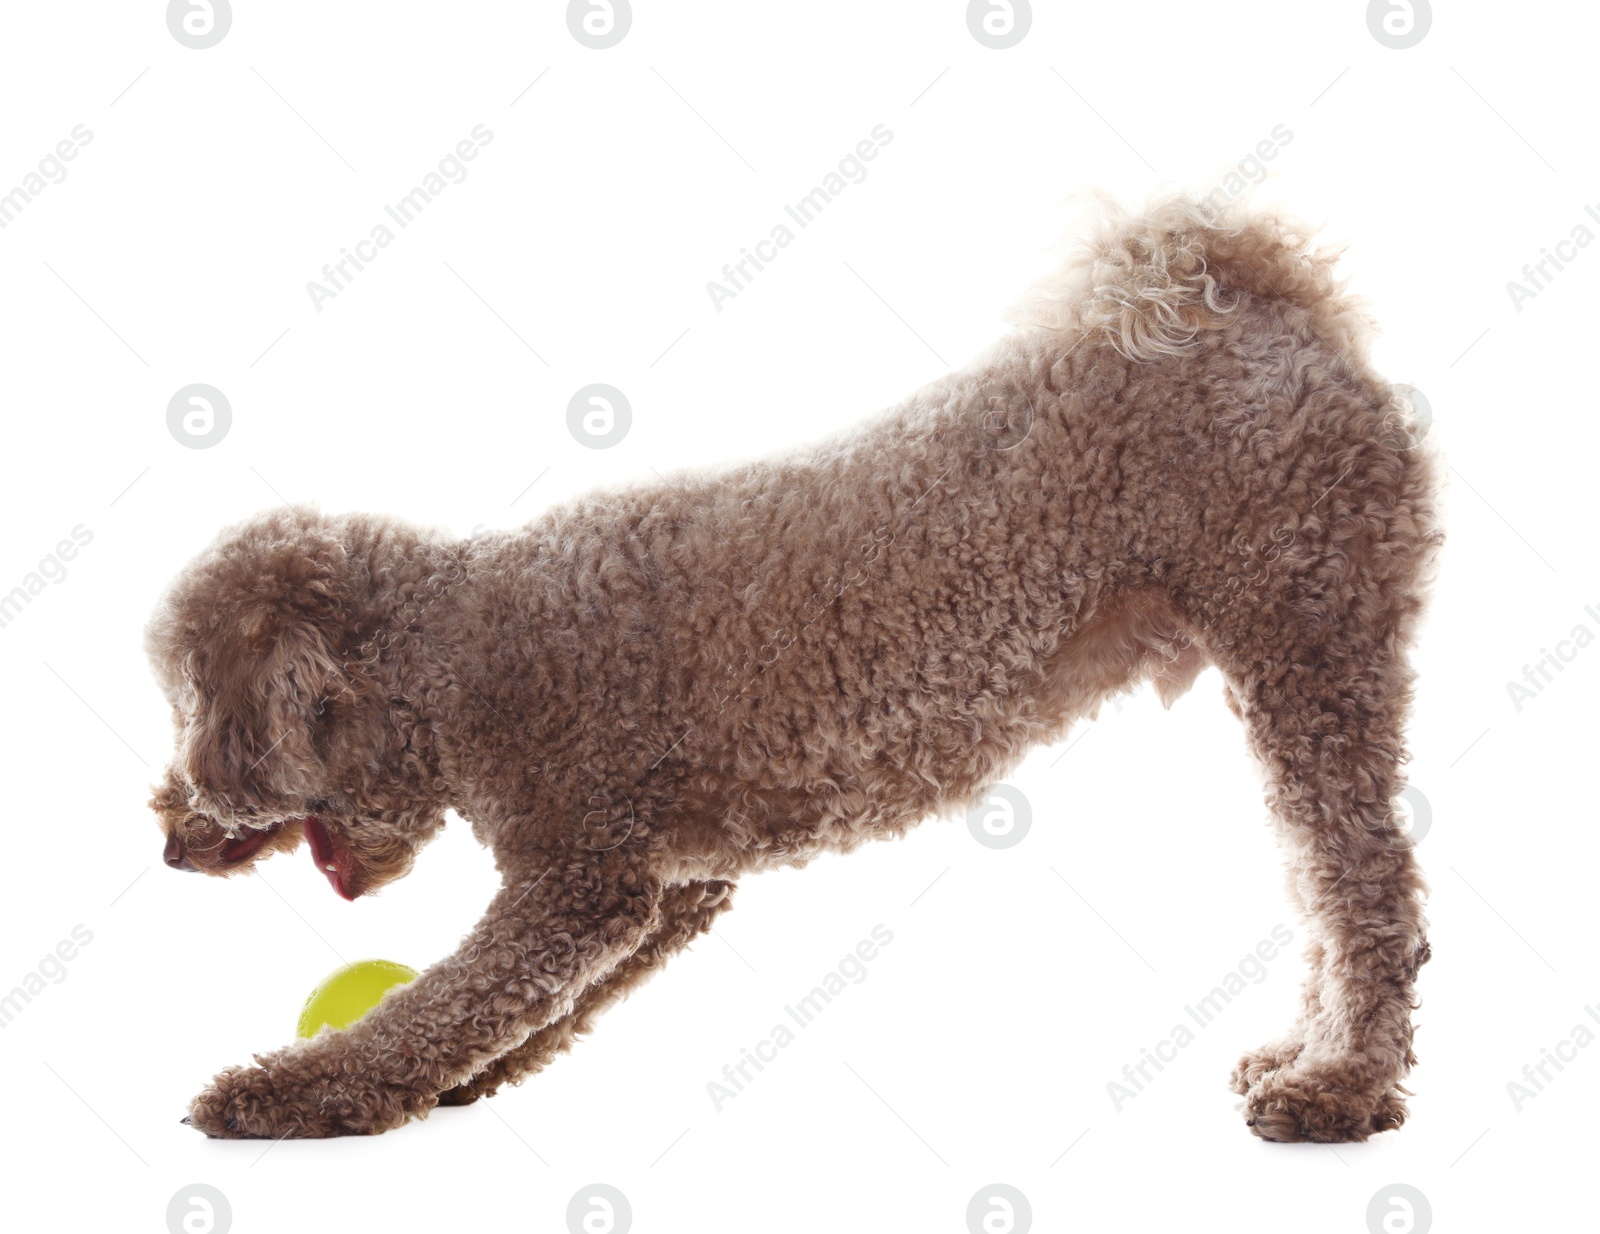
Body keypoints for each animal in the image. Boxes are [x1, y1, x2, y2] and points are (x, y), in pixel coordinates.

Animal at [150, 197, 1446, 1145]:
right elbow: (532, 1011)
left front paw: (287, 1091)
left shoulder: (579, 878)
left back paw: (1339, 1088)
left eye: (193, 715)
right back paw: (1309, 1054)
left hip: (1306, 641)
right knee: (1327, 882)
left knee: (1365, 885)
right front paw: (459, 1083)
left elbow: (436, 1005)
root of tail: (1260, 297)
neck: (452, 645)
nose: (166, 831)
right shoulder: (670, 884)